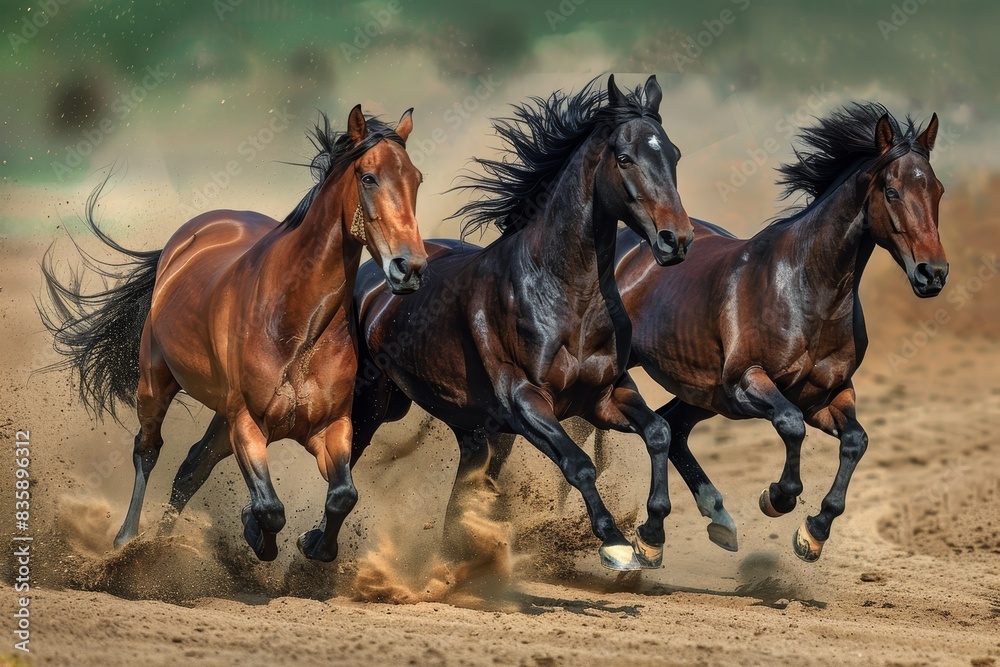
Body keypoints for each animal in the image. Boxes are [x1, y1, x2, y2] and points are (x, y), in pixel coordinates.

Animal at [39, 105, 427, 562]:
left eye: (416, 179)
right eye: (369, 177)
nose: (410, 268)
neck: (299, 332)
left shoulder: (329, 426)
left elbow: (342, 495)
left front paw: (314, 544)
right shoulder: (247, 423)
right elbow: (269, 507)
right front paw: (254, 532)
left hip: (219, 416)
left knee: (192, 467)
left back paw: (162, 543)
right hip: (155, 383)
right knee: (148, 450)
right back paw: (127, 540)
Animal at [488, 103, 947, 563]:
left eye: (938, 191)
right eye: (892, 191)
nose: (933, 273)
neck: (807, 290)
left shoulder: (827, 395)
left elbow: (856, 440)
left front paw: (813, 532)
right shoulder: (747, 382)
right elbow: (791, 425)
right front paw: (776, 498)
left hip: (701, 394)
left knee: (672, 427)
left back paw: (710, 520)